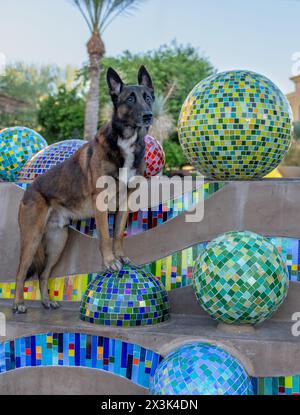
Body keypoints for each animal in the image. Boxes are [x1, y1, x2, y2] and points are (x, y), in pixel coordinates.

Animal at [12, 65, 155, 314]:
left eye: (148, 97)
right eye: (130, 99)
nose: (148, 115)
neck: (126, 141)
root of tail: (30, 188)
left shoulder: (125, 203)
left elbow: (118, 235)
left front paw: (121, 257)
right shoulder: (101, 204)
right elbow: (106, 237)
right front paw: (110, 262)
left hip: (57, 242)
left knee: (44, 273)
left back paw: (47, 301)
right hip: (32, 237)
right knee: (21, 272)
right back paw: (19, 304)